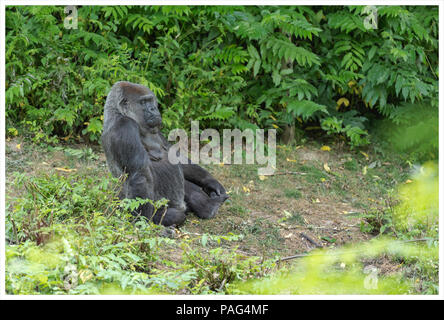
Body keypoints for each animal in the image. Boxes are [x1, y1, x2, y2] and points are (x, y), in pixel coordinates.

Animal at [101, 81, 229, 226]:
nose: (153, 109)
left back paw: (209, 207)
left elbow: (175, 156)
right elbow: (139, 175)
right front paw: (142, 224)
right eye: (143, 102)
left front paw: (210, 182)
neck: (118, 113)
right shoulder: (124, 127)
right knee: (176, 215)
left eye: (151, 100)